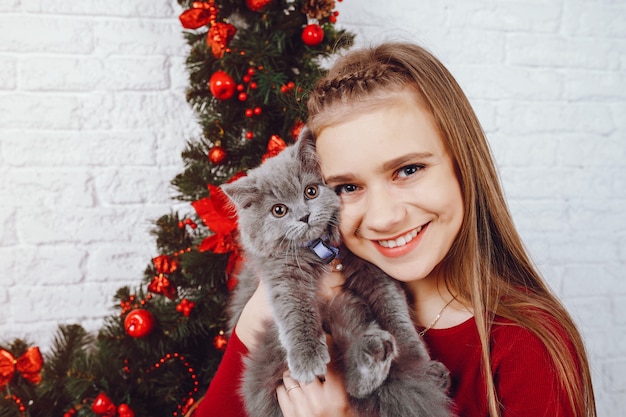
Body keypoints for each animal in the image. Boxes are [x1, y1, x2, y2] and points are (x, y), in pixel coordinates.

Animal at [222, 128, 450, 414]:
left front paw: (418, 362)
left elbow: (396, 315)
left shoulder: (375, 273)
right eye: (279, 210)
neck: (321, 249)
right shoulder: (282, 273)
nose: (304, 216)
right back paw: (374, 353)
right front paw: (307, 359)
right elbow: (296, 311)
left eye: (310, 192)